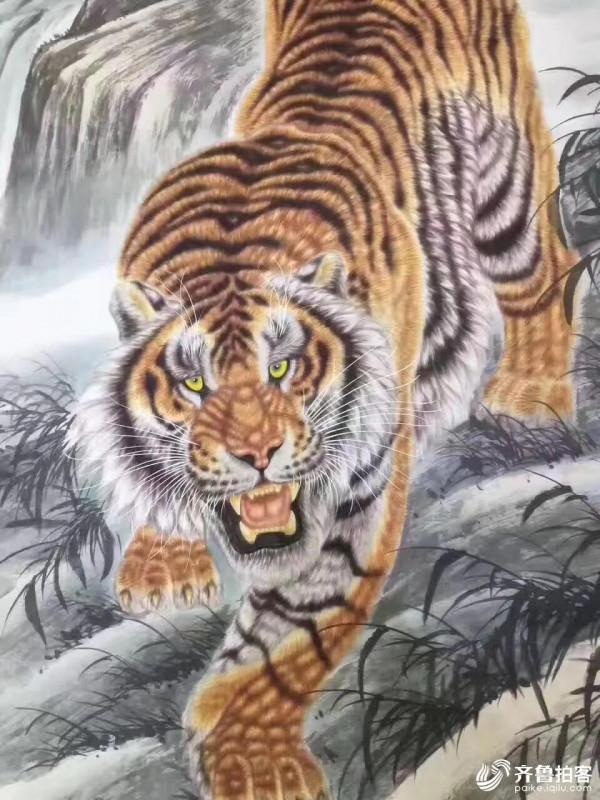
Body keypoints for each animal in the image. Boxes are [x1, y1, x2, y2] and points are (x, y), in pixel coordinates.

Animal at [72, 0, 578, 797]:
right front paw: (164, 570)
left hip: (505, 187)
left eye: (284, 369)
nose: (257, 454)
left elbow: (297, 632)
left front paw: (251, 757)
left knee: (549, 267)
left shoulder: (358, 497)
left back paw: (531, 392)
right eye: (194, 384)